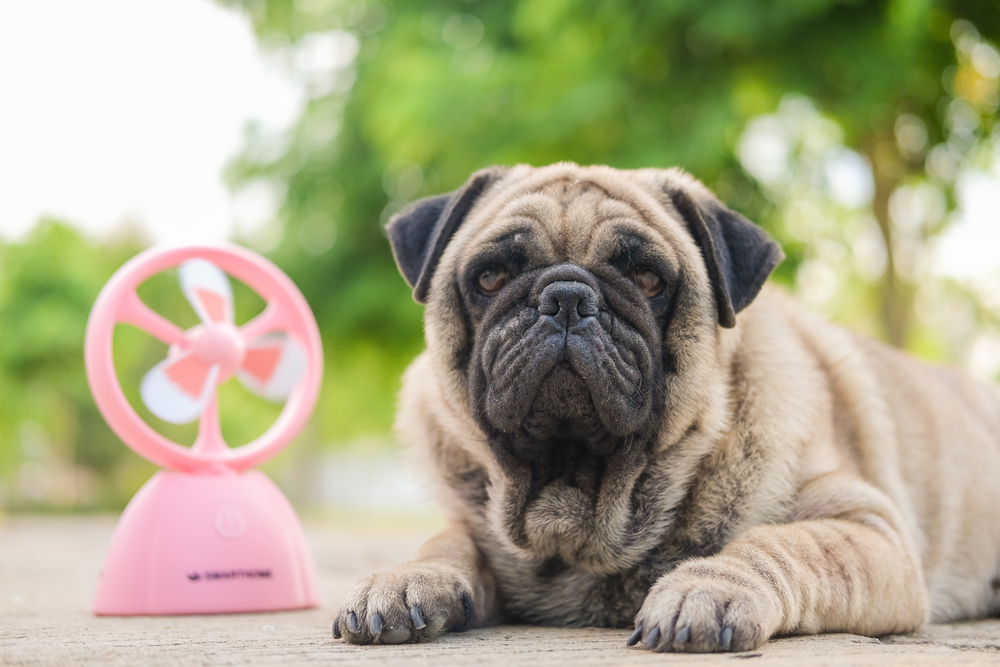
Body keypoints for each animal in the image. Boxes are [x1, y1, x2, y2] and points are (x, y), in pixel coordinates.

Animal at [330, 164, 1000, 656]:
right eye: (491, 277)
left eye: (648, 279)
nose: (567, 297)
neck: (579, 498)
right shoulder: (471, 523)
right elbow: (445, 544)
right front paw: (402, 581)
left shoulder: (865, 527)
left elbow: (774, 545)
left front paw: (707, 588)